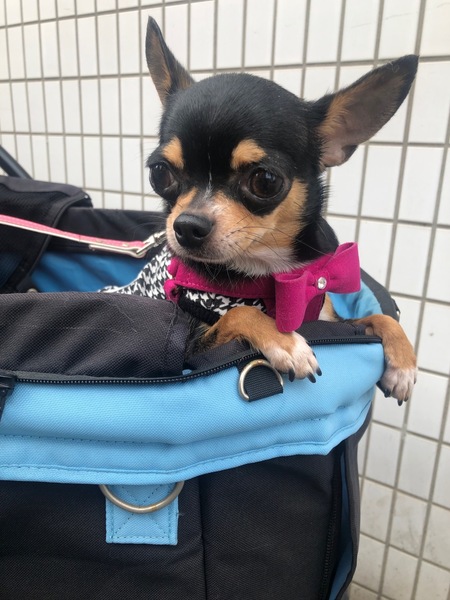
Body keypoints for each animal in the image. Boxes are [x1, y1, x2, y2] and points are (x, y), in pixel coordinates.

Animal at [109, 17, 418, 403]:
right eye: (159, 172)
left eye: (265, 180)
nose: (186, 226)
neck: (268, 271)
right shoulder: (193, 349)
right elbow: (239, 313)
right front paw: (285, 343)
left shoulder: (329, 321)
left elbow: (382, 319)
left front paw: (403, 362)